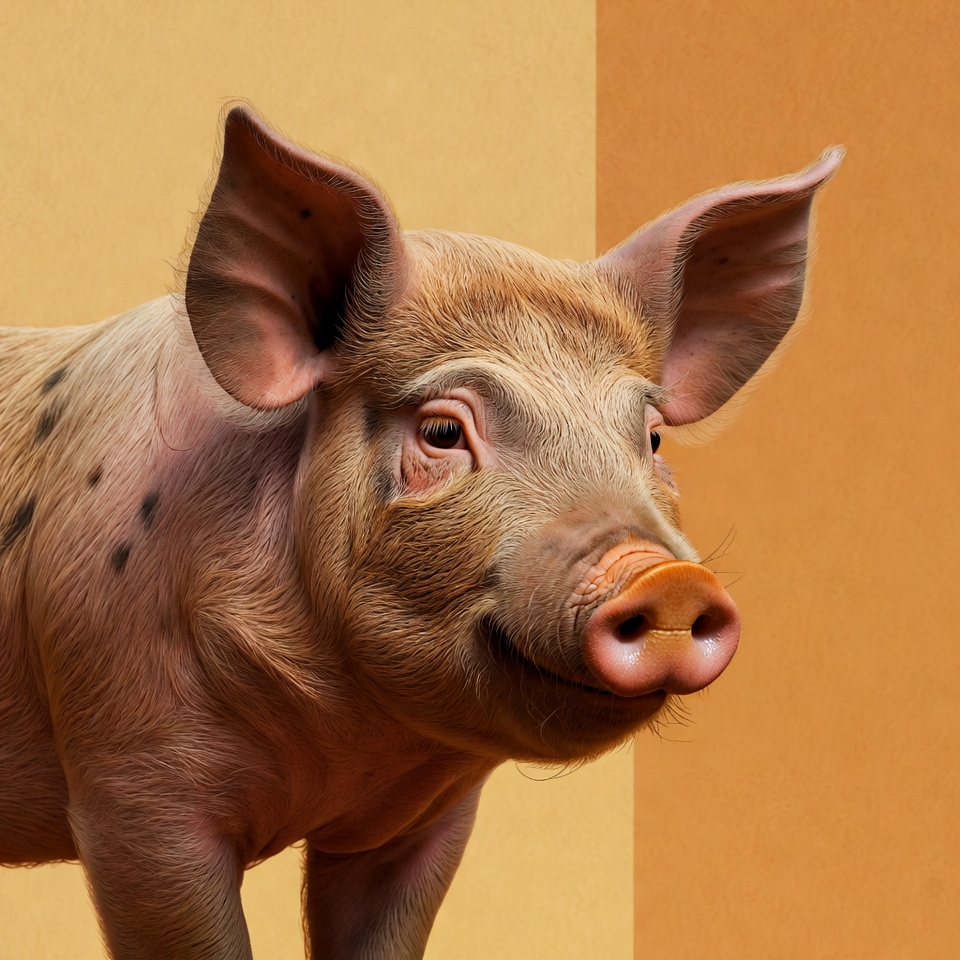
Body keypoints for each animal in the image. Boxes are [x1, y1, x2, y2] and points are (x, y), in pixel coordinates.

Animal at [0, 106, 841, 959]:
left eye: (653, 436)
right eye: (441, 431)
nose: (668, 578)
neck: (345, 746)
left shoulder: (420, 822)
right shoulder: (131, 791)